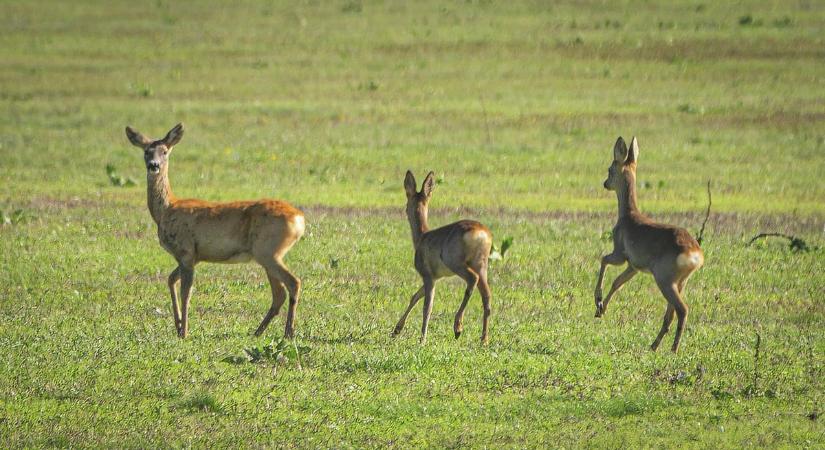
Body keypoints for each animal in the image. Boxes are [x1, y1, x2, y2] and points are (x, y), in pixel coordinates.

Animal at [127, 122, 308, 338]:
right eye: (146, 151)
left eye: (165, 151)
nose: (154, 165)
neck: (167, 209)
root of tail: (299, 218)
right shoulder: (192, 256)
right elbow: (171, 280)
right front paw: (178, 326)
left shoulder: (186, 251)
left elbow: (186, 292)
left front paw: (184, 332)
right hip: (268, 255)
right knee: (279, 293)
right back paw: (258, 332)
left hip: (268, 251)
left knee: (293, 282)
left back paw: (288, 332)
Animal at [392, 171, 492, 344]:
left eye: (406, 204)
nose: (404, 211)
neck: (422, 237)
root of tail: (481, 233)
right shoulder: (435, 277)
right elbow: (415, 296)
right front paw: (396, 330)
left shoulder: (427, 276)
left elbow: (427, 306)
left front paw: (422, 340)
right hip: (481, 265)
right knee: (486, 296)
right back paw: (483, 340)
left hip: (456, 263)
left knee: (472, 279)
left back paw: (458, 327)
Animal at [596, 135, 704, 354]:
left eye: (610, 169)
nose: (605, 183)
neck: (628, 216)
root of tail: (695, 253)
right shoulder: (634, 266)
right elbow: (617, 282)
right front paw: (601, 310)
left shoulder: (620, 254)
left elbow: (603, 260)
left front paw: (598, 302)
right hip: (681, 281)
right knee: (671, 313)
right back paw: (655, 345)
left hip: (664, 279)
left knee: (682, 309)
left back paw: (673, 349)